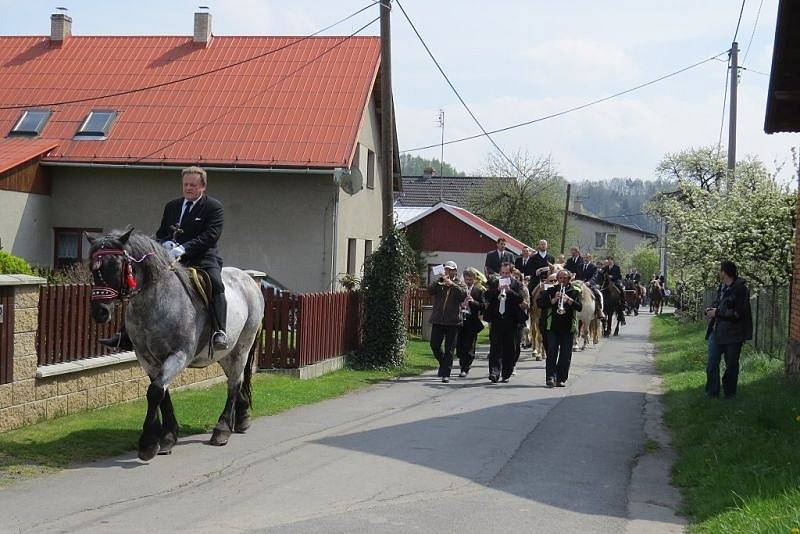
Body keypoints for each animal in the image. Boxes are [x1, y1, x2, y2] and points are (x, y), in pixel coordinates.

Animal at [88, 228, 264, 462]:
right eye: (92, 266)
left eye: (116, 265)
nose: (100, 311)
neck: (154, 304)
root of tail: (248, 279)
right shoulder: (147, 359)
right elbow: (162, 393)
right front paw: (168, 437)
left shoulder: (179, 355)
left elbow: (155, 392)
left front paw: (148, 444)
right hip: (226, 353)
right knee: (236, 379)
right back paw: (242, 418)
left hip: (242, 346)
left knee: (235, 382)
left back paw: (222, 429)